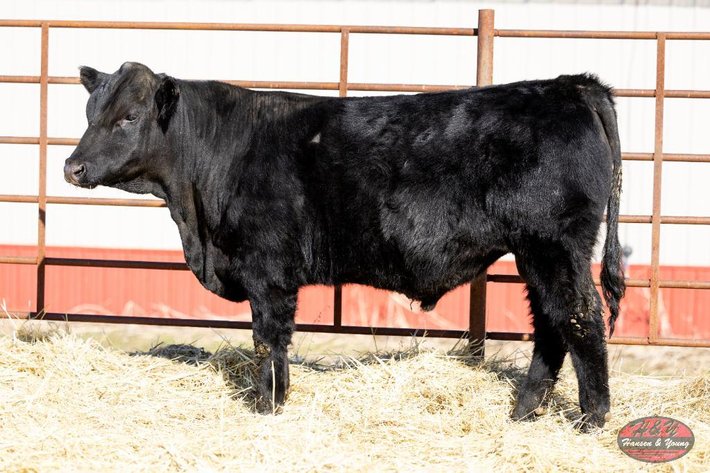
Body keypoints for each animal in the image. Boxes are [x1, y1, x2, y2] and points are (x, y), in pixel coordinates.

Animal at [64, 62, 625, 430]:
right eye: (90, 111)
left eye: (129, 117)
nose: (73, 167)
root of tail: (571, 86)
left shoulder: (268, 269)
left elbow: (268, 338)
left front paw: (268, 405)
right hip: (537, 252)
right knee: (551, 324)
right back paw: (524, 412)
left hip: (553, 244)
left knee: (580, 316)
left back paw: (592, 418)